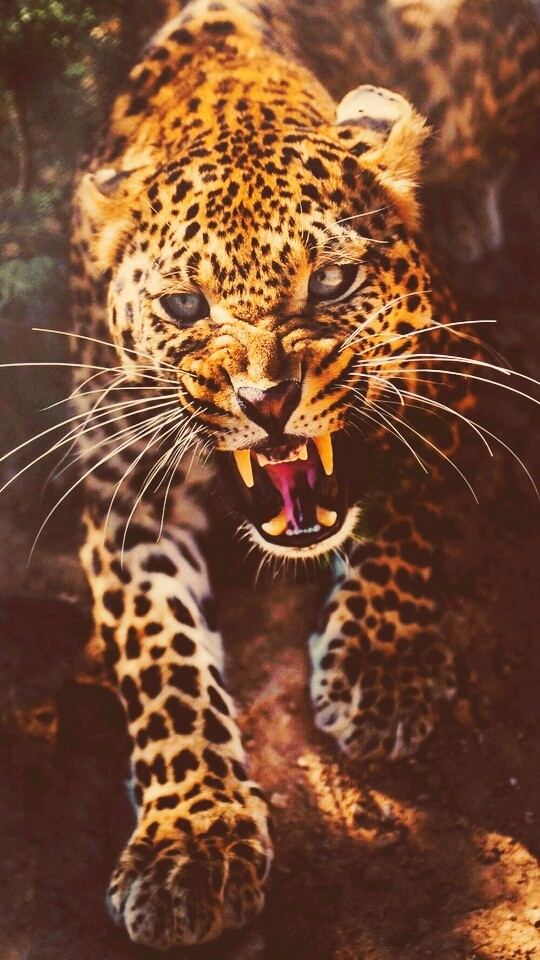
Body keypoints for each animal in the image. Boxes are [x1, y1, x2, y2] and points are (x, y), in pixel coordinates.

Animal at [66, 0, 539, 949]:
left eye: (331, 281)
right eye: (183, 304)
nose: (269, 399)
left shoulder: (448, 370)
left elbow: (404, 507)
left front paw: (379, 673)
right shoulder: (118, 484)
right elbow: (158, 655)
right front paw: (191, 839)